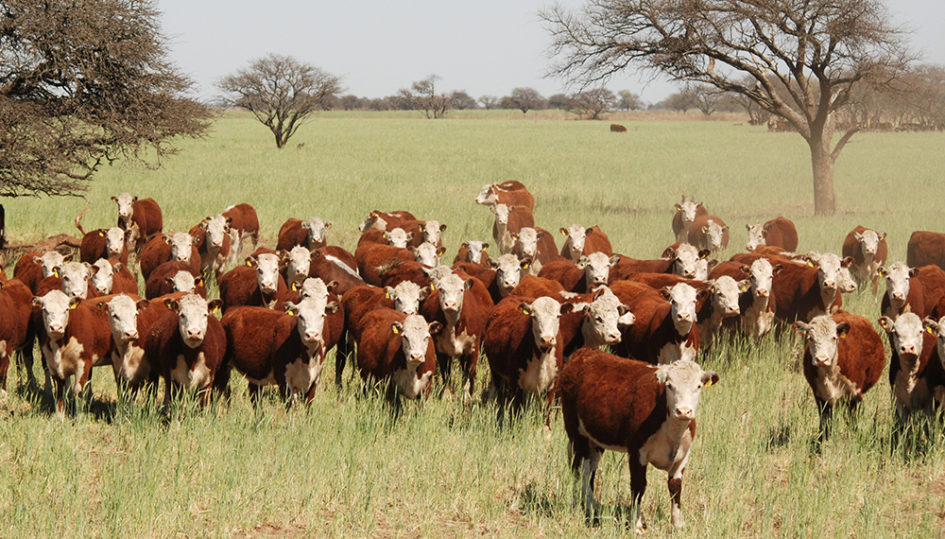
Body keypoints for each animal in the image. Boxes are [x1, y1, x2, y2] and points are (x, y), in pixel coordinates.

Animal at [556, 350, 720, 532]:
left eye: (698, 386)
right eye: (669, 385)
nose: (684, 411)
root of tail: (584, 353)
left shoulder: (683, 455)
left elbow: (675, 487)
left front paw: (677, 524)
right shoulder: (636, 451)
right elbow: (639, 485)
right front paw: (636, 524)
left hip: (595, 440)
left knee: (591, 470)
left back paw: (593, 507)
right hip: (577, 433)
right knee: (580, 470)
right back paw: (582, 508)